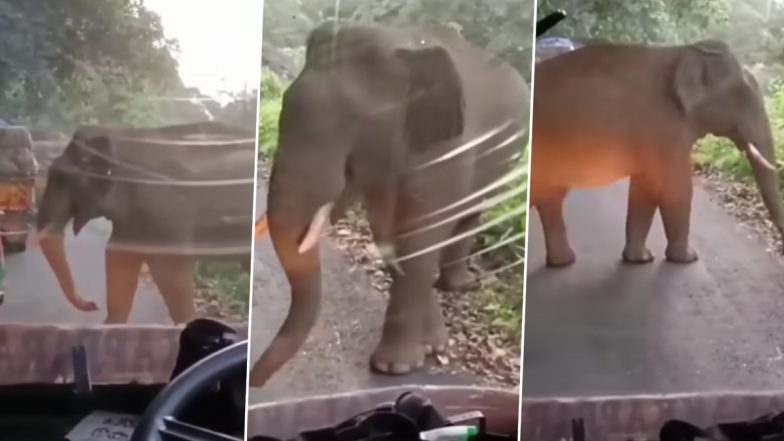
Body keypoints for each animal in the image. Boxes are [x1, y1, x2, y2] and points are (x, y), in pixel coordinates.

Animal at [36, 120, 254, 324]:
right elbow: (119, 258)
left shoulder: (167, 206)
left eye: (61, 177)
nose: (92, 304)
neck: (121, 134)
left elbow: (170, 269)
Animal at [248, 21, 528, 384]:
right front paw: (432, 346)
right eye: (284, 104)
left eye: (355, 122)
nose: (254, 381)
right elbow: (390, 236)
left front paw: (395, 367)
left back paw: (461, 285)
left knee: (472, 213)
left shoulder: (448, 148)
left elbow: (419, 239)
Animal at [528, 39, 784, 266]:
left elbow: (645, 188)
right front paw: (688, 258)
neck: (685, 50)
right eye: (744, 98)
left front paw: (640, 259)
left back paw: (563, 262)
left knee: (551, 198)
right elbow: (676, 187)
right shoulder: (665, 127)